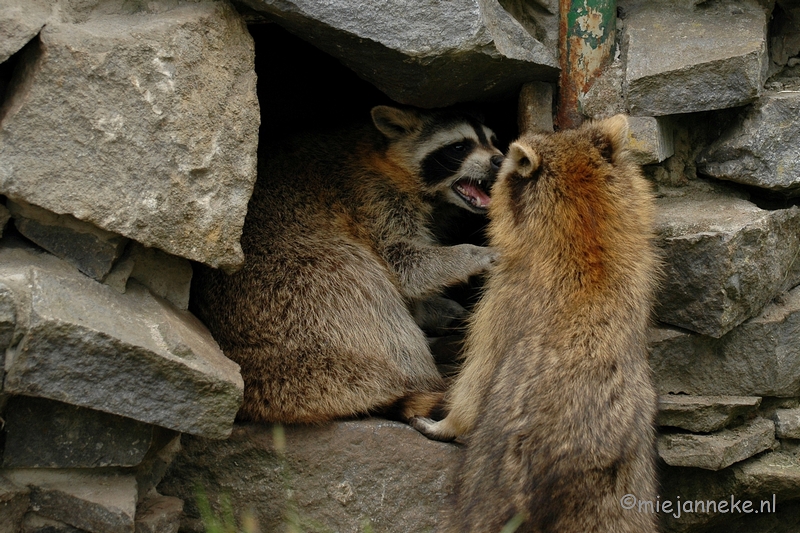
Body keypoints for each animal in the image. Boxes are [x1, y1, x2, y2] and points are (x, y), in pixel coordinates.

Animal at [191, 105, 504, 424]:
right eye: (459, 147)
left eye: (494, 141)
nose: (499, 160)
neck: (386, 156)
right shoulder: (371, 197)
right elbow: (406, 266)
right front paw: (474, 254)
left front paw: (433, 308)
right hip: (299, 289)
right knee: (366, 285)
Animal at [410, 115, 660, 532]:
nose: (497, 161)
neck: (588, 232)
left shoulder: (500, 299)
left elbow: (477, 375)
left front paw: (448, 422)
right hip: (627, 493)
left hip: (495, 479)